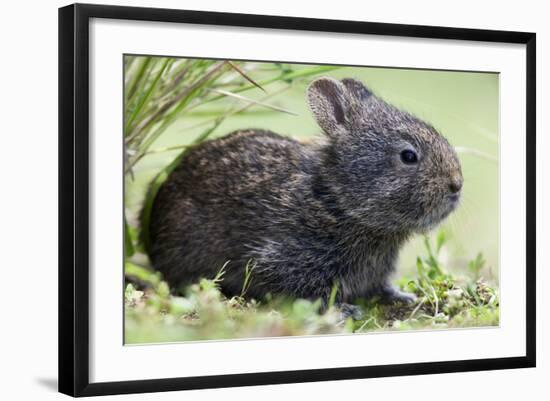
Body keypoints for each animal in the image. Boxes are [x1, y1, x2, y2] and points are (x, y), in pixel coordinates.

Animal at [149, 76, 464, 318]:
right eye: (408, 156)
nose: (456, 185)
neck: (337, 200)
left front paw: (402, 297)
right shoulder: (287, 260)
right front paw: (344, 311)